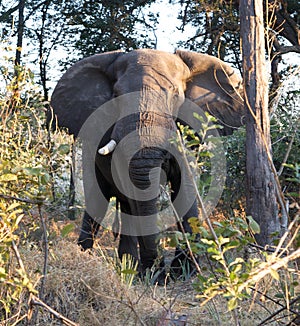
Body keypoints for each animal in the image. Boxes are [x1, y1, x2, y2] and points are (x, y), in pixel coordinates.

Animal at [49, 48, 244, 282]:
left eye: (176, 95)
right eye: (116, 96)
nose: (160, 271)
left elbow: (185, 188)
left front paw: (183, 272)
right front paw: (153, 274)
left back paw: (129, 265)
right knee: (98, 202)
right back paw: (95, 259)